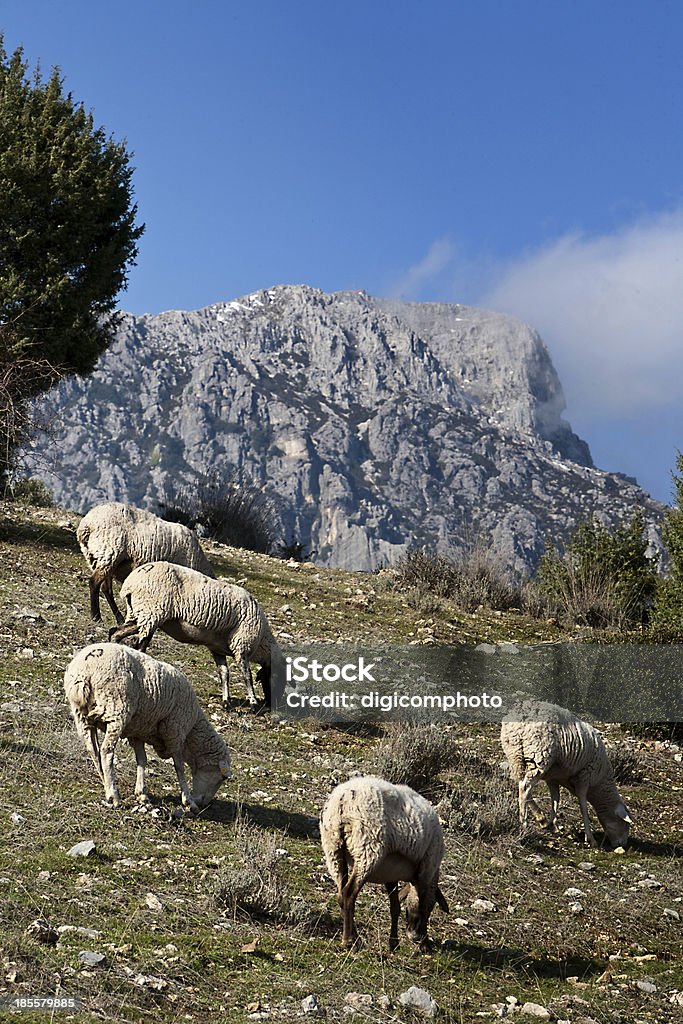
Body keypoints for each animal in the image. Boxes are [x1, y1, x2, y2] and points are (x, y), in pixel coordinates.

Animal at [63, 638, 231, 815]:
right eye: (221, 778)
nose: (204, 803)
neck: (192, 730)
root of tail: (83, 670)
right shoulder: (175, 731)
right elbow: (179, 766)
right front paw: (188, 800)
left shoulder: (137, 732)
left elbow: (142, 760)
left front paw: (141, 794)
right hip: (117, 709)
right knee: (106, 751)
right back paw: (114, 796)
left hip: (82, 716)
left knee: (93, 751)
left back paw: (106, 784)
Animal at [75, 497, 215, 622]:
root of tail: (86, 524)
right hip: (109, 553)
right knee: (94, 583)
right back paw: (96, 616)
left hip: (100, 558)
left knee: (106, 589)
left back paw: (119, 618)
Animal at [109, 561, 278, 712]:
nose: (270, 705)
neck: (262, 641)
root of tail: (131, 581)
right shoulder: (241, 645)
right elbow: (247, 676)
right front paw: (254, 704)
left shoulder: (217, 649)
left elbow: (224, 674)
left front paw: (227, 703)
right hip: (151, 611)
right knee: (140, 646)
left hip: (138, 613)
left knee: (115, 632)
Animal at [319, 774, 448, 950]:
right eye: (433, 905)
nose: (414, 936)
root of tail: (343, 800)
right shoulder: (426, 871)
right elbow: (421, 906)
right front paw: (424, 943)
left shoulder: (391, 874)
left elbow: (395, 907)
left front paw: (394, 943)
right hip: (368, 848)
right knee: (349, 893)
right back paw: (349, 940)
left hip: (333, 848)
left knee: (341, 894)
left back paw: (355, 937)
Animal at [499, 700, 634, 851]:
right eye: (625, 824)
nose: (622, 845)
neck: (599, 784)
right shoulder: (584, 777)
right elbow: (583, 807)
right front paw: (590, 838)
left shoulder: (553, 778)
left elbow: (555, 800)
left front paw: (552, 824)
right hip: (538, 756)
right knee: (525, 788)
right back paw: (524, 824)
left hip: (515, 756)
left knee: (522, 787)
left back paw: (539, 818)